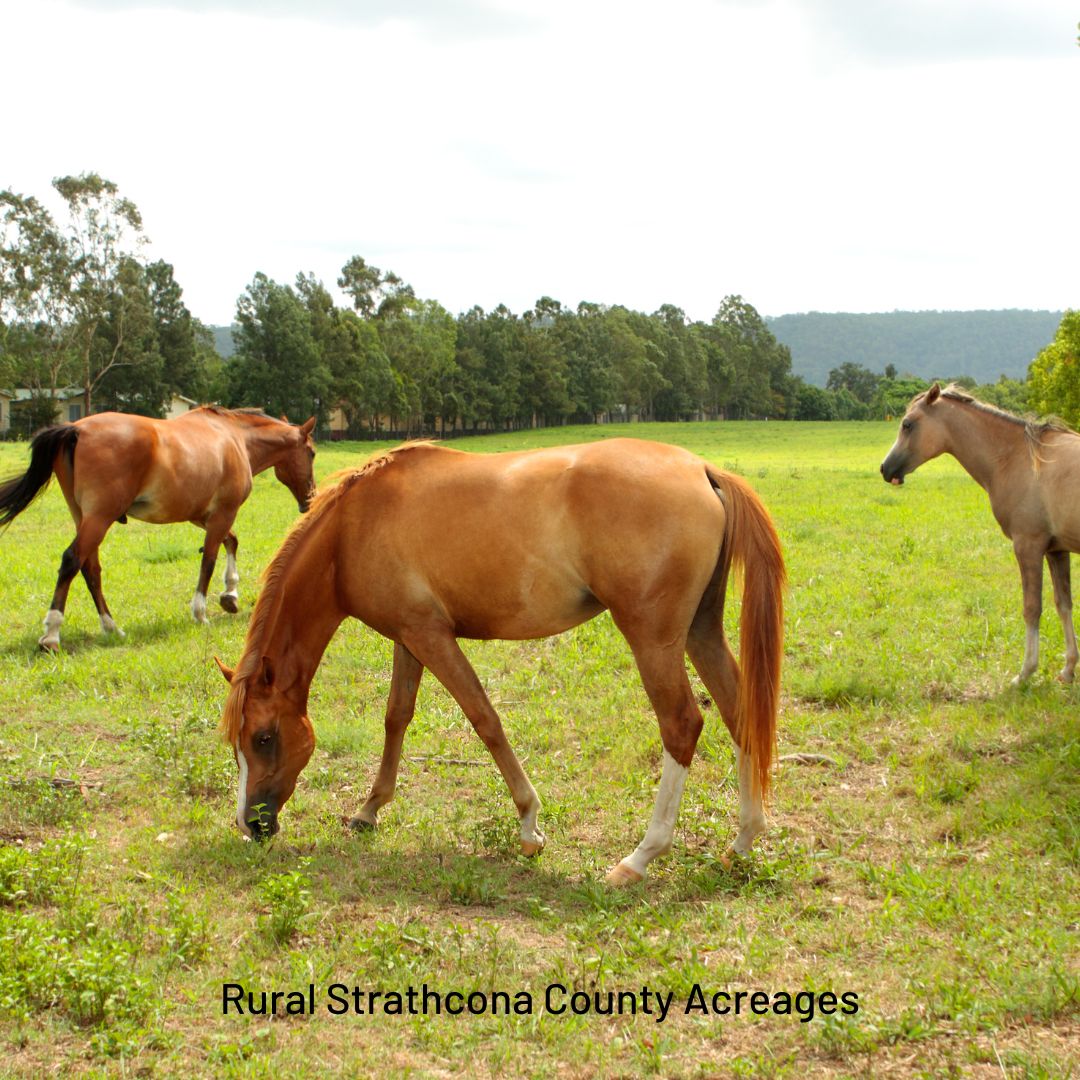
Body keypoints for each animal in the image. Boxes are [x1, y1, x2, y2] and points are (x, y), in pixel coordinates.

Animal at [2, 406, 315, 648]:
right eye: (311, 453)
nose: (310, 499)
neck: (236, 438)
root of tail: (76, 429)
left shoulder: (202, 515)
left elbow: (231, 542)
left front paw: (230, 596)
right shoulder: (223, 513)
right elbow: (210, 559)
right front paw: (201, 612)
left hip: (85, 518)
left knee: (90, 569)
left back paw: (111, 627)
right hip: (99, 519)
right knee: (72, 561)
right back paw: (52, 634)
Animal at [214, 438, 786, 885]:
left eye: (263, 738)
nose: (251, 825)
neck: (353, 528)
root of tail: (702, 469)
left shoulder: (432, 636)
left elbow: (484, 718)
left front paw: (530, 826)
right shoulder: (407, 637)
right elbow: (396, 718)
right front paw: (369, 810)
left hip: (654, 640)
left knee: (682, 725)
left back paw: (641, 857)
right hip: (700, 631)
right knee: (739, 714)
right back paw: (743, 841)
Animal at [881, 384, 1075, 678]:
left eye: (907, 424)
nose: (885, 468)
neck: (1017, 458)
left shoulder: (1028, 546)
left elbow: (1032, 608)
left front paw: (1025, 673)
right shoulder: (1057, 550)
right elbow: (1064, 604)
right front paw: (1068, 668)